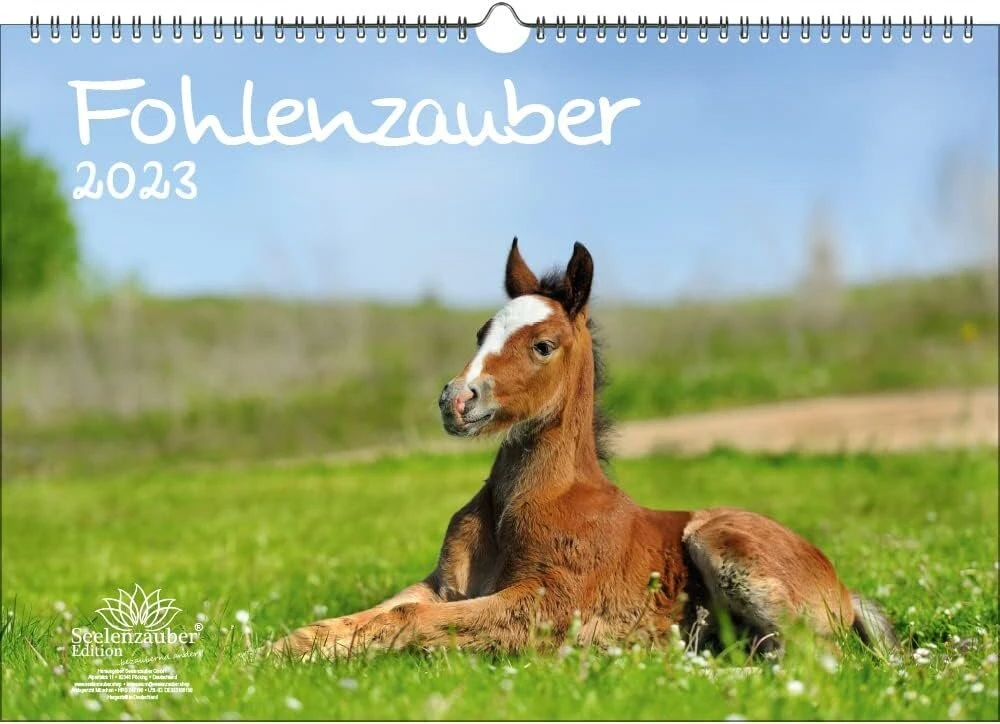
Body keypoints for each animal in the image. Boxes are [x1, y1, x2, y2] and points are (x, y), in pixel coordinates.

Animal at [270, 238, 899, 660]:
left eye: (543, 345)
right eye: (481, 333)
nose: (456, 400)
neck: (522, 506)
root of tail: (844, 589)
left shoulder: (547, 603)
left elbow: (416, 622)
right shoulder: (441, 585)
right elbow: (385, 610)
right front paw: (273, 653)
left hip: (722, 542)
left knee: (812, 658)